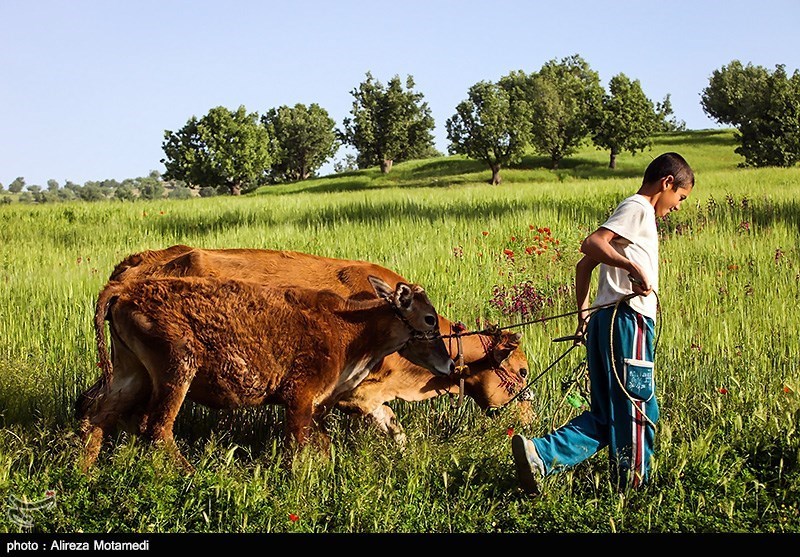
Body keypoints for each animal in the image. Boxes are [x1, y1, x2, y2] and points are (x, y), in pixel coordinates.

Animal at [78, 245, 536, 446]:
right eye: (522, 371)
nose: (532, 420)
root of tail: (129, 269)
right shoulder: (342, 391)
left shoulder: (366, 398)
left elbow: (395, 431)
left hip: (127, 373)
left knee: (93, 409)